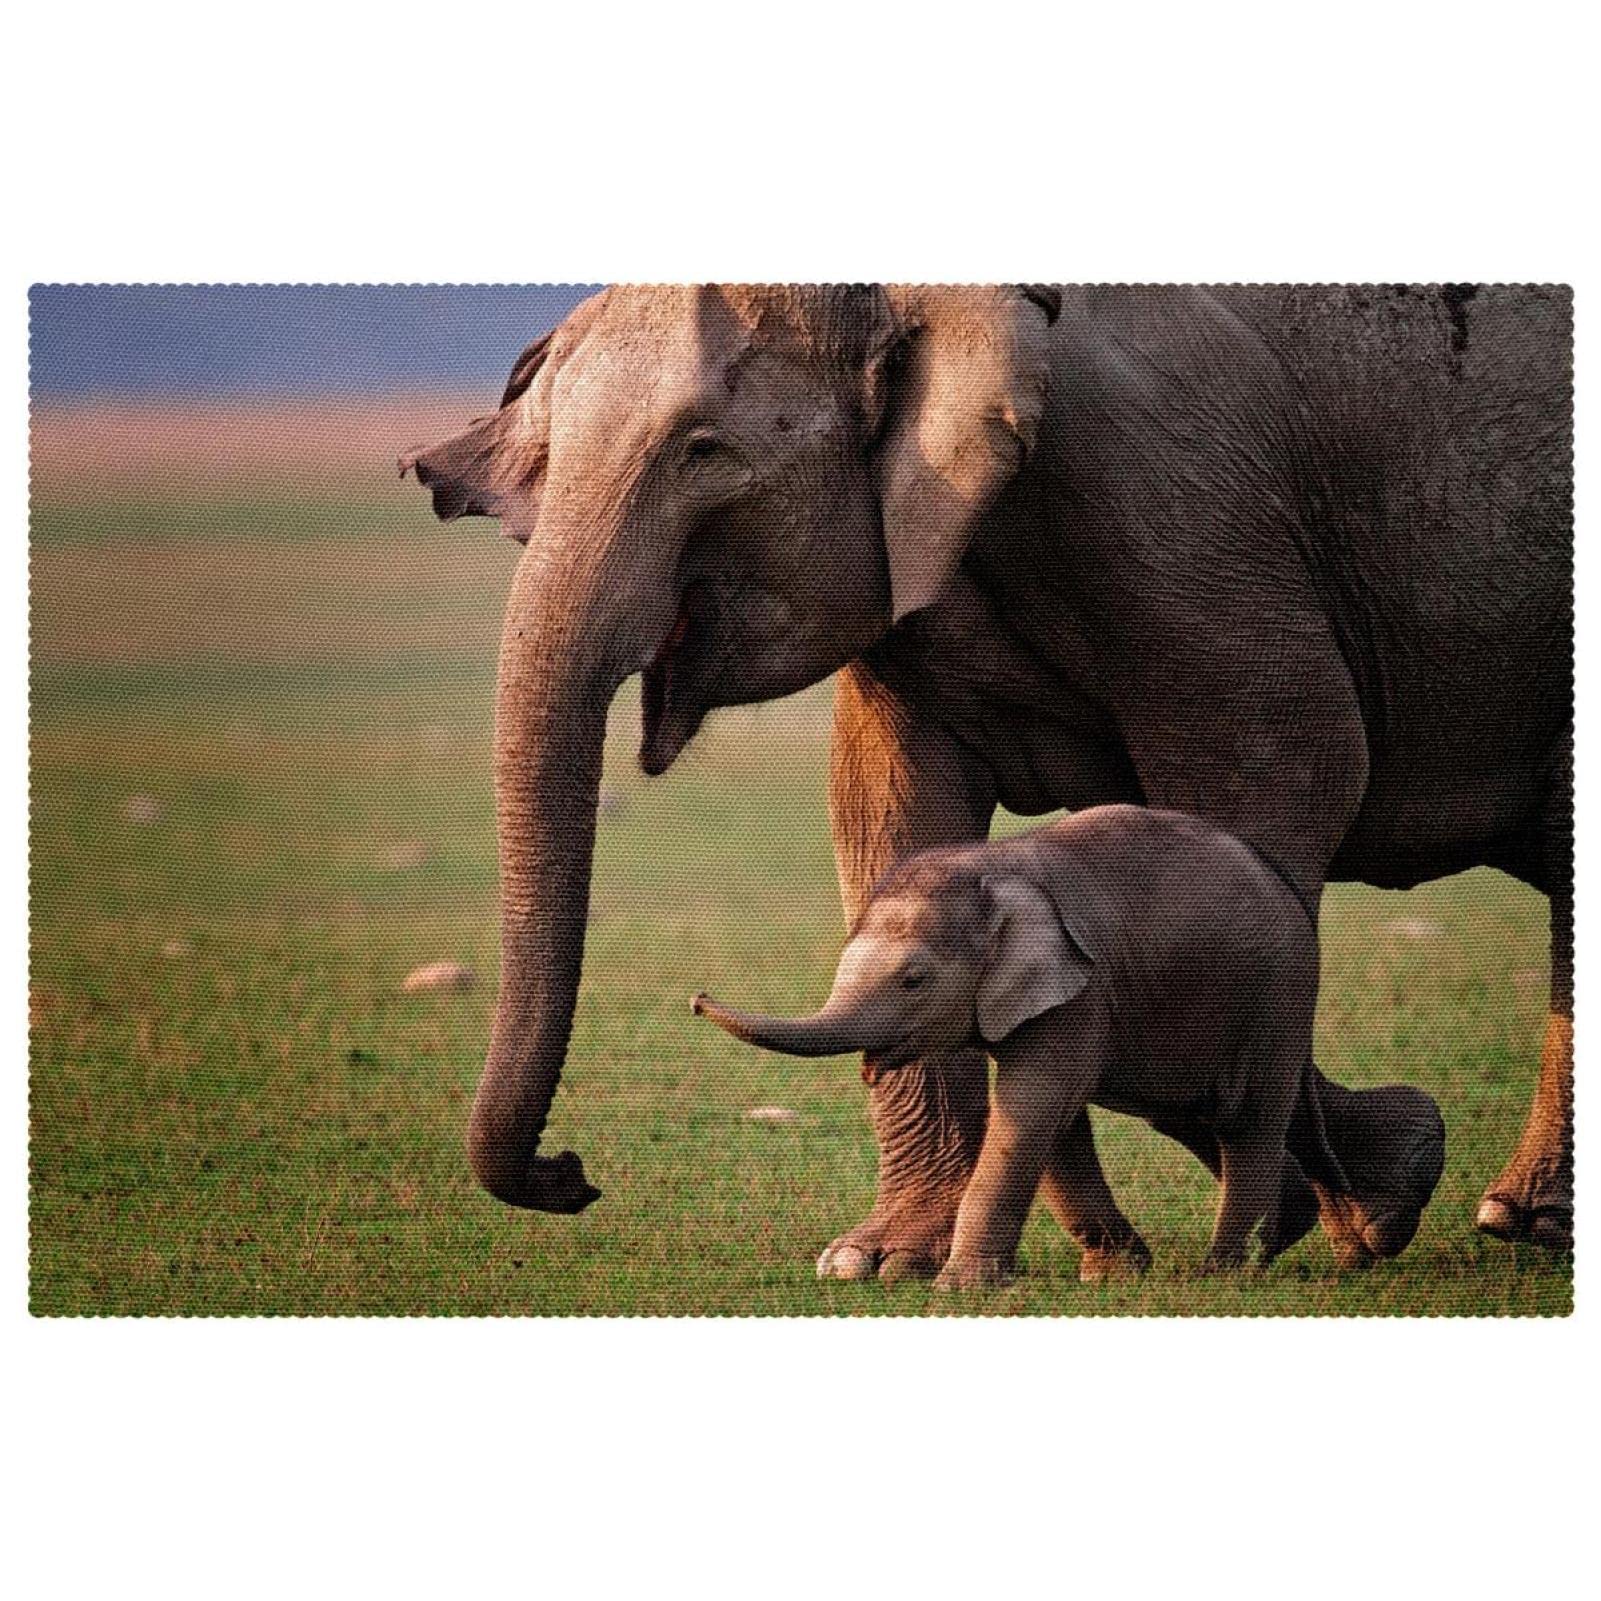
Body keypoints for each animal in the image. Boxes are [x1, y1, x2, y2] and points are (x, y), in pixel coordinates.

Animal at [691, 805, 1446, 1285]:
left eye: (912, 980)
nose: (695, 999)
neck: (991, 871)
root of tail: (1285, 886)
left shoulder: (1079, 989)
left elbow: (1030, 1108)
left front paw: (959, 1289)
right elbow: (1054, 1122)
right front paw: (1112, 1276)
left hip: (1276, 993)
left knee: (1247, 1120)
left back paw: (1226, 1271)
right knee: (1191, 1112)